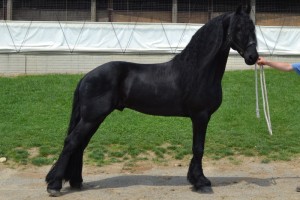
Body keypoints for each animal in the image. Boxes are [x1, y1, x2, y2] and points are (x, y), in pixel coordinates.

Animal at [46, 5, 258, 196]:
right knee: (72, 142)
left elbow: (197, 148)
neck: (198, 71)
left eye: (252, 27)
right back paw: (54, 185)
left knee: (80, 144)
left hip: (93, 119)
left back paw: (75, 182)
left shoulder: (200, 118)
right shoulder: (200, 116)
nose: (253, 57)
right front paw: (201, 182)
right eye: (238, 28)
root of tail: (86, 77)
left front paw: (194, 178)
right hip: (92, 118)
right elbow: (198, 148)